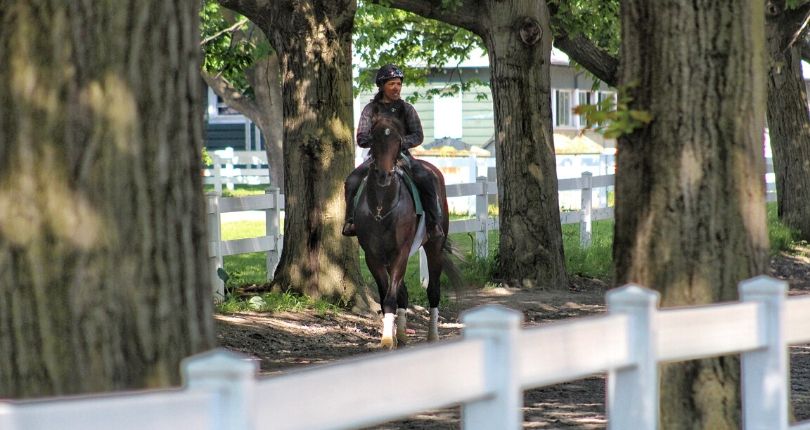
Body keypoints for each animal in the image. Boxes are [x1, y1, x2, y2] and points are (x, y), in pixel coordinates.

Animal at [354, 115, 460, 350]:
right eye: (374, 139)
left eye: (397, 140)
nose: (384, 175)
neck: (382, 207)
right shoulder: (373, 256)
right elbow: (386, 296)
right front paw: (390, 337)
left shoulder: (400, 253)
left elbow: (390, 298)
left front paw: (386, 340)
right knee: (402, 293)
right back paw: (401, 335)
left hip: (434, 247)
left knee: (433, 290)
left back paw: (432, 335)